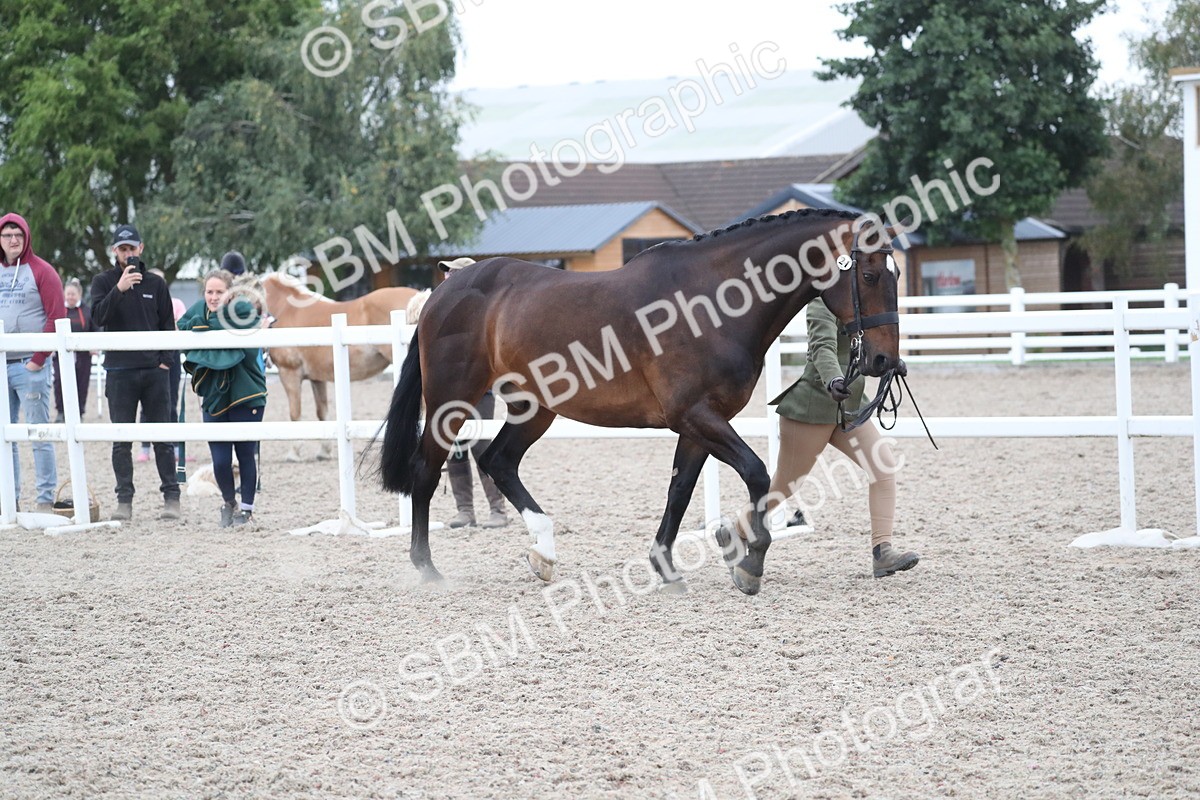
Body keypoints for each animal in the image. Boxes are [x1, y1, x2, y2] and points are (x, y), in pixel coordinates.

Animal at [260, 272, 420, 460]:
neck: (286, 309)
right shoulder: (317, 378)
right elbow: (322, 413)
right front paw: (324, 451)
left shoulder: (289, 373)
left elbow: (295, 414)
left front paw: (294, 453)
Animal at [379, 208, 903, 596]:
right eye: (869, 274)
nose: (883, 360)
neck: (711, 302)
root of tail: (443, 290)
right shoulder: (696, 415)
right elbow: (757, 474)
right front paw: (750, 562)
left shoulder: (700, 423)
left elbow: (680, 490)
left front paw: (666, 567)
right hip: (453, 400)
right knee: (428, 469)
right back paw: (427, 569)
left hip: (535, 409)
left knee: (499, 461)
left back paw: (543, 553)